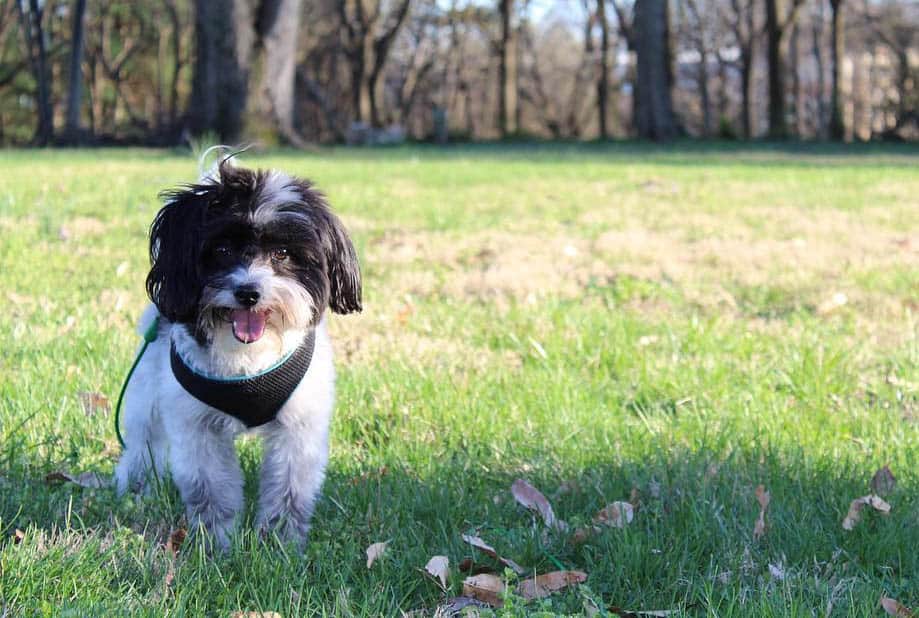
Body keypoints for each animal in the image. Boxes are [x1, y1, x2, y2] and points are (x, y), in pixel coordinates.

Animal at [113, 156, 362, 548]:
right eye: (222, 251)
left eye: (282, 253)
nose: (248, 292)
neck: (248, 358)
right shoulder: (195, 424)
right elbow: (210, 487)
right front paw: (216, 541)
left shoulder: (299, 424)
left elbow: (289, 486)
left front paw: (279, 541)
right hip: (147, 393)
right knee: (143, 443)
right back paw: (135, 489)